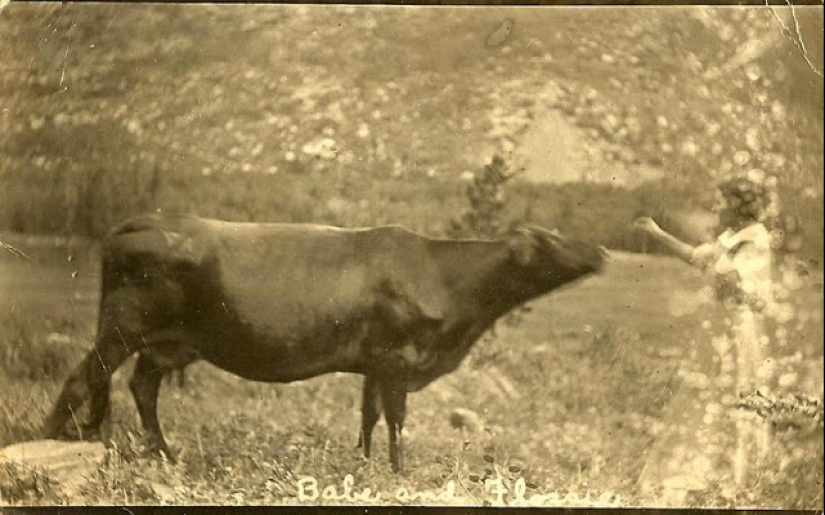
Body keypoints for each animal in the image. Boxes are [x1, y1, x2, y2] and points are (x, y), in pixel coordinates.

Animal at [41, 213, 600, 472]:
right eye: (552, 241)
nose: (598, 250)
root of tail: (143, 220)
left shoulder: (374, 363)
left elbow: (369, 415)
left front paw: (365, 461)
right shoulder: (398, 359)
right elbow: (396, 419)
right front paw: (398, 470)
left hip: (166, 344)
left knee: (141, 388)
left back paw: (164, 454)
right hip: (121, 329)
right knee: (82, 378)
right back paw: (52, 441)